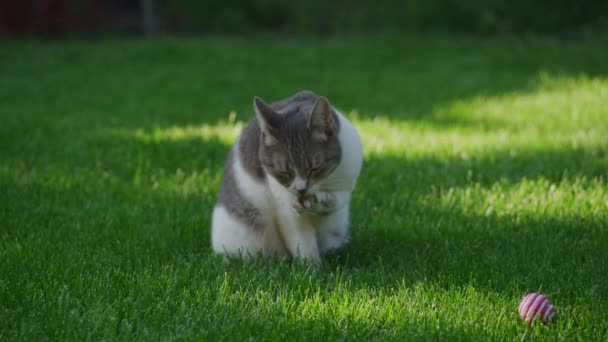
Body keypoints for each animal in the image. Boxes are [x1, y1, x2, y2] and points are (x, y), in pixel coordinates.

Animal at [210, 90, 360, 262]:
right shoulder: (285, 208)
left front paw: (319, 200)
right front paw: (311, 265)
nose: (301, 189)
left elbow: (334, 202)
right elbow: (302, 240)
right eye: (285, 173)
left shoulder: (346, 185)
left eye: (314, 169)